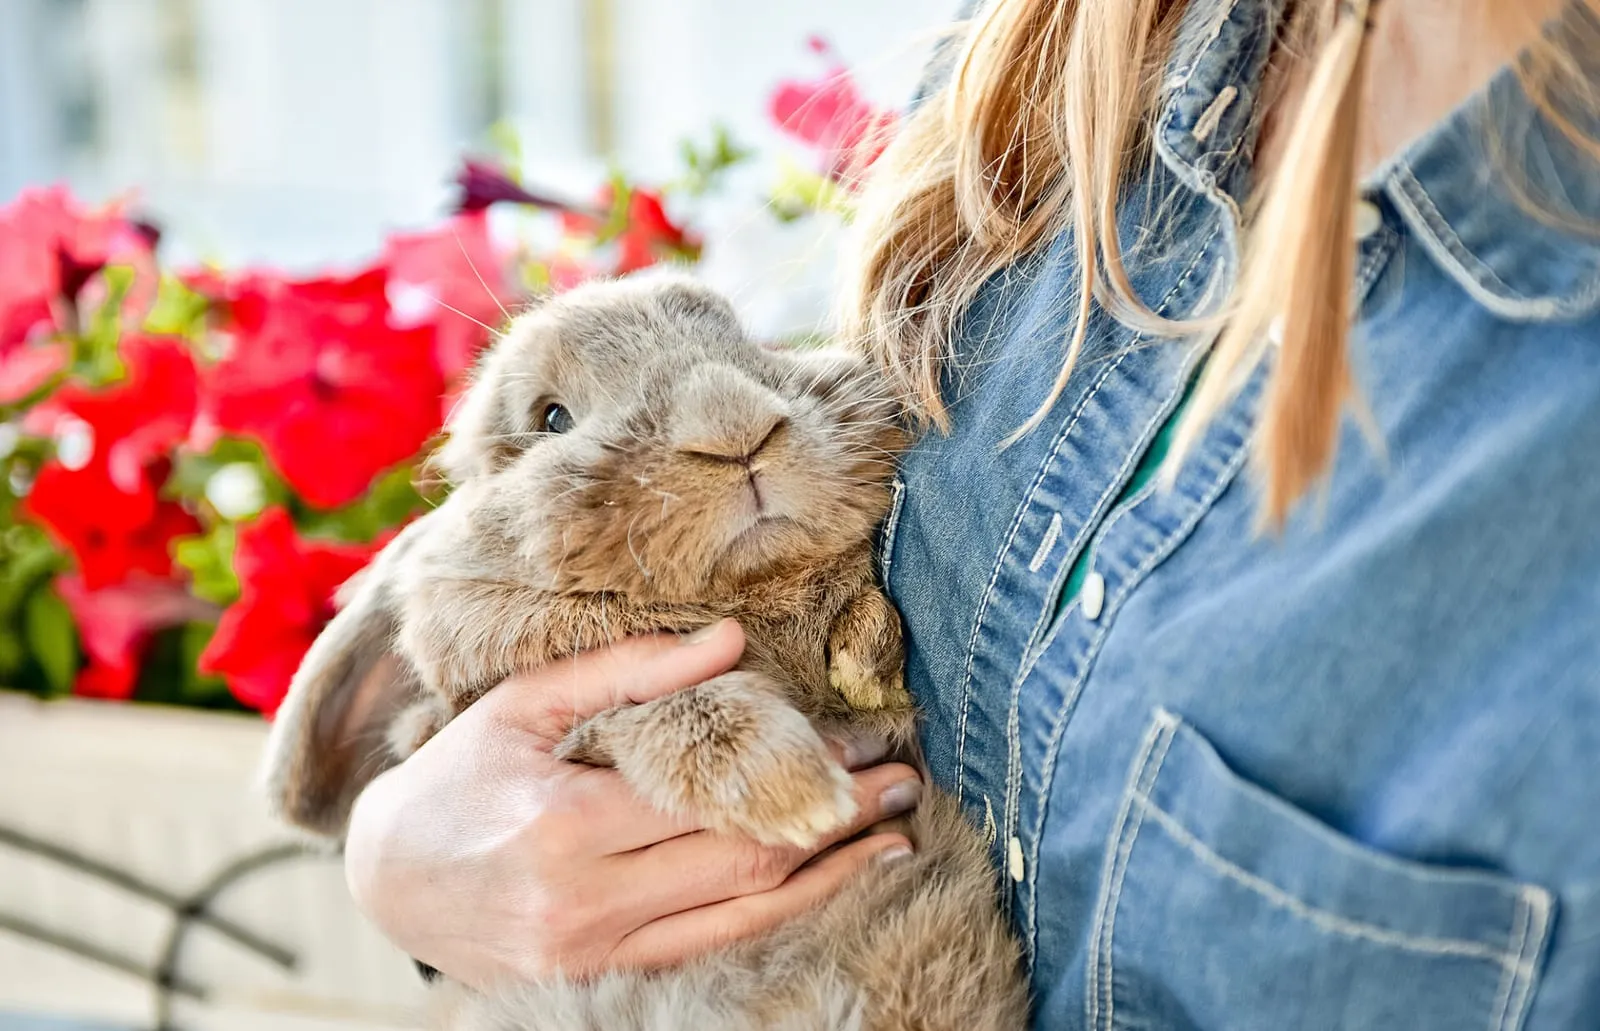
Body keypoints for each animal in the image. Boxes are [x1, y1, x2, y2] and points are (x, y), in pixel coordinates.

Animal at [260, 271, 1028, 1030]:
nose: (734, 426)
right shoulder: (551, 718)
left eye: (745, 342)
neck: (751, 595)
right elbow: (662, 701)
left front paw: (865, 669)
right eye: (552, 418)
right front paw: (789, 792)